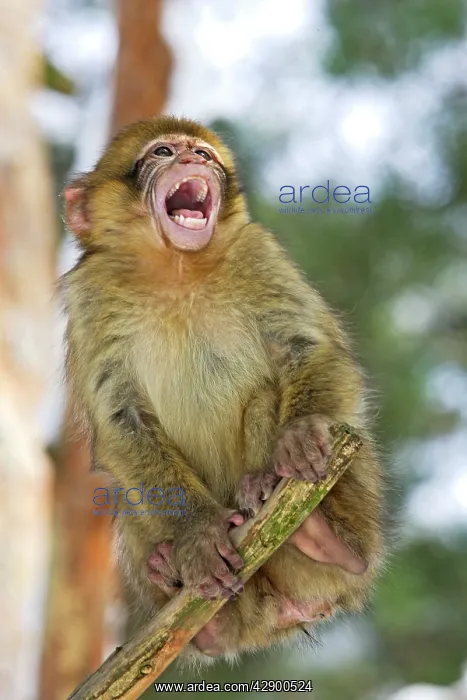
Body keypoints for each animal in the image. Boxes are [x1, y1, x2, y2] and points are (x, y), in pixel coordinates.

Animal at [61, 115, 385, 662]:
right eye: (163, 152)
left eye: (205, 155)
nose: (193, 159)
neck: (176, 269)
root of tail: (281, 617)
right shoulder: (90, 295)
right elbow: (119, 417)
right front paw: (196, 534)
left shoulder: (258, 251)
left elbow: (307, 345)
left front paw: (301, 432)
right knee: (129, 493)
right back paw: (190, 601)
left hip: (352, 523)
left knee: (265, 401)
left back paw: (318, 532)